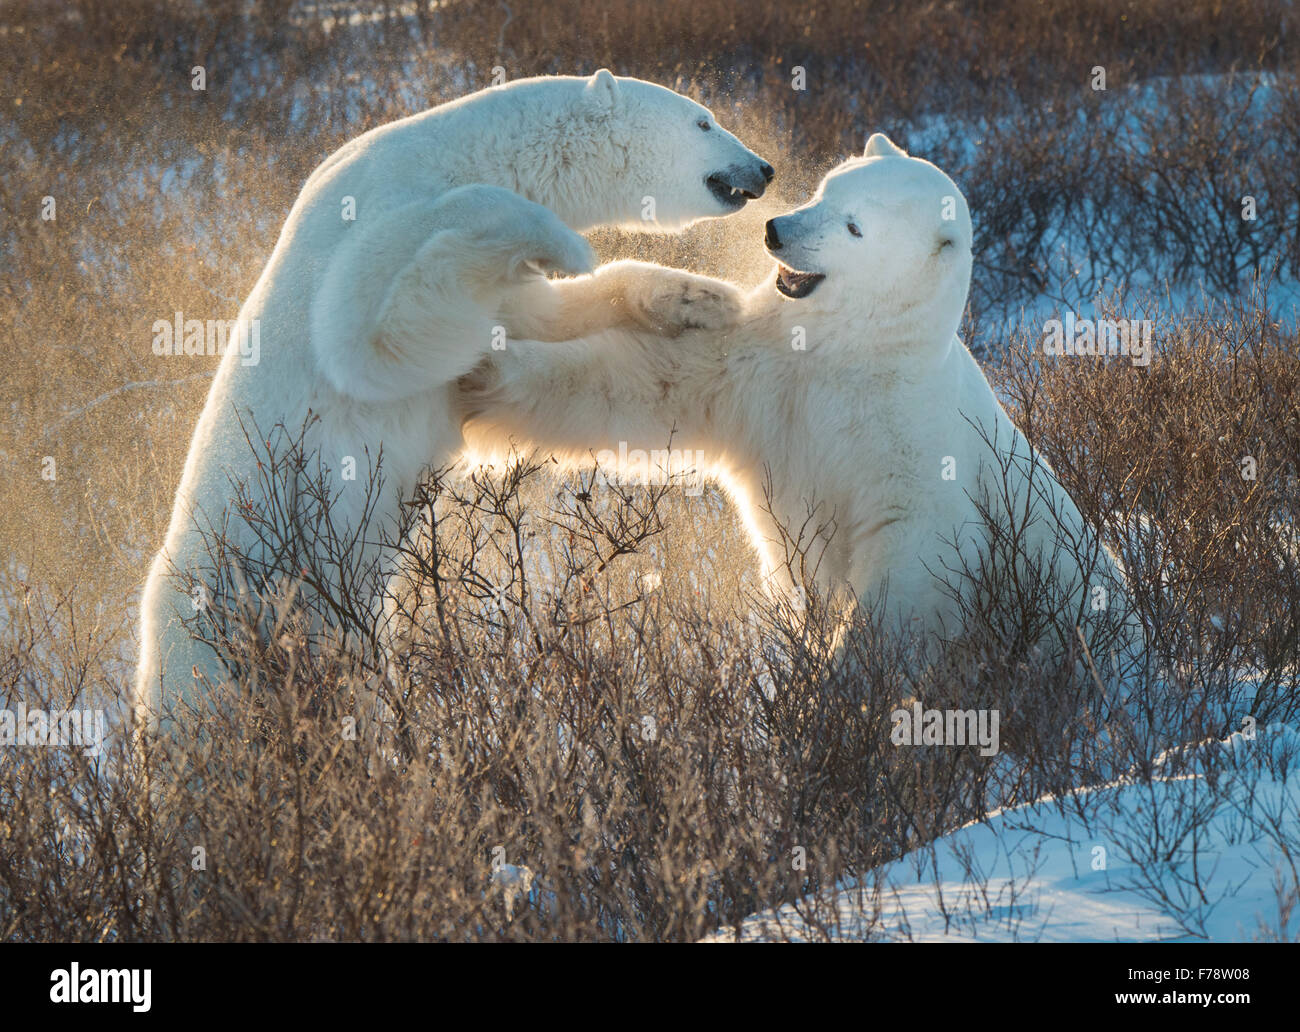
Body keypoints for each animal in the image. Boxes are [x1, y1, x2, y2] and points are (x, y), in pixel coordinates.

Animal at [139, 72, 769, 717]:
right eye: (703, 121)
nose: (764, 169)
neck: (468, 149)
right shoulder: (371, 216)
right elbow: (365, 331)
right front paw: (566, 242)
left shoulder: (492, 286)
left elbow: (531, 317)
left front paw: (703, 297)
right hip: (225, 629)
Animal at [460, 132, 1138, 655]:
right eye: (823, 189)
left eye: (855, 226)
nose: (776, 230)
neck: (850, 353)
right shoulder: (756, 368)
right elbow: (638, 384)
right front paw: (481, 371)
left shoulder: (916, 448)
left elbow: (912, 556)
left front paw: (836, 686)